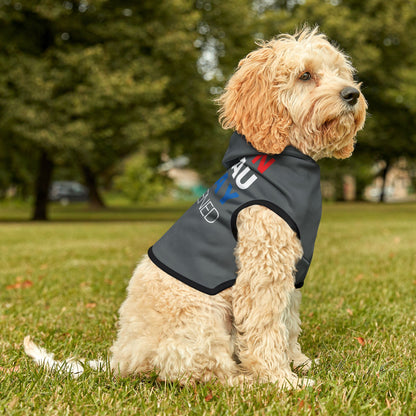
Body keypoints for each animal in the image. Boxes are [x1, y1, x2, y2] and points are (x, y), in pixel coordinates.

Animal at [24, 27, 366, 388]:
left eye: (340, 72)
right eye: (305, 75)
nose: (352, 94)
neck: (287, 154)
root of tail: (122, 358)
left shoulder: (291, 269)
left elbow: (288, 322)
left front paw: (298, 362)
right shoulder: (263, 269)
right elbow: (266, 327)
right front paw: (281, 380)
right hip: (202, 316)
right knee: (200, 371)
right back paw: (244, 380)